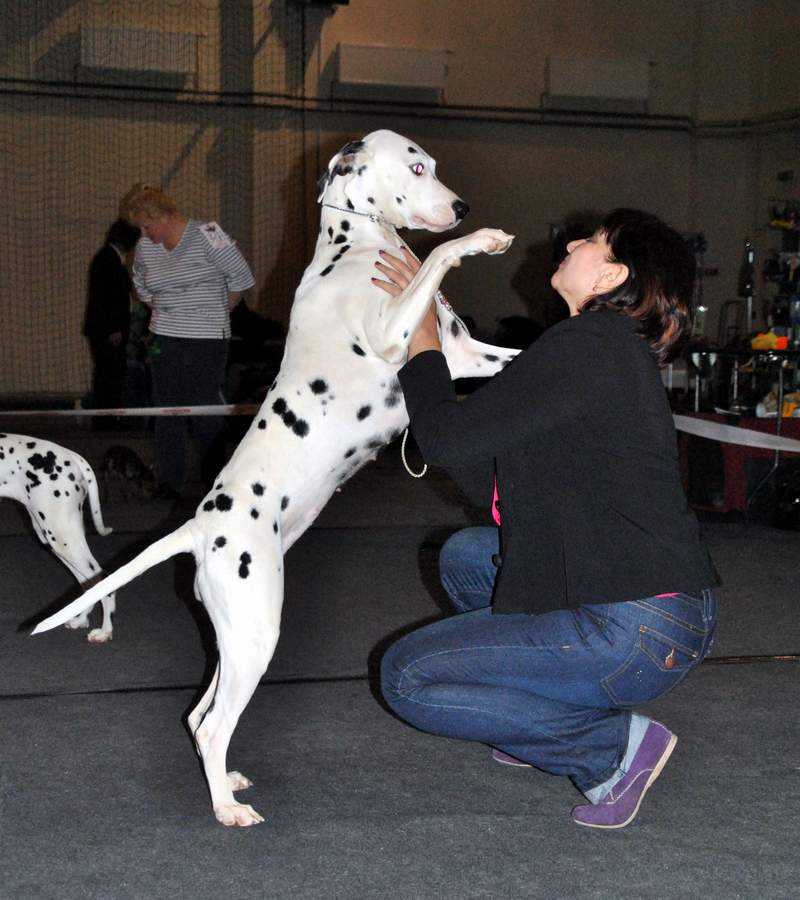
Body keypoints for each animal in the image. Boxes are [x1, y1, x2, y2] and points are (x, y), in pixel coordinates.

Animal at [0, 433, 116, 642]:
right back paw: (80, 620)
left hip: (62, 538)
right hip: (58, 538)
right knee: (88, 583)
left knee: (103, 578)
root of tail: (72, 457)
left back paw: (105, 631)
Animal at [34, 130, 518, 825]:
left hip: (234, 642)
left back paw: (225, 781)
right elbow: (440, 256)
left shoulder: (464, 358)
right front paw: (478, 239)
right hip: (257, 633)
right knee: (211, 726)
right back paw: (226, 809)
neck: (357, 246)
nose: (461, 206)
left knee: (198, 715)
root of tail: (198, 527)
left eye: (434, 166)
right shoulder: (396, 333)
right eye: (416, 167)